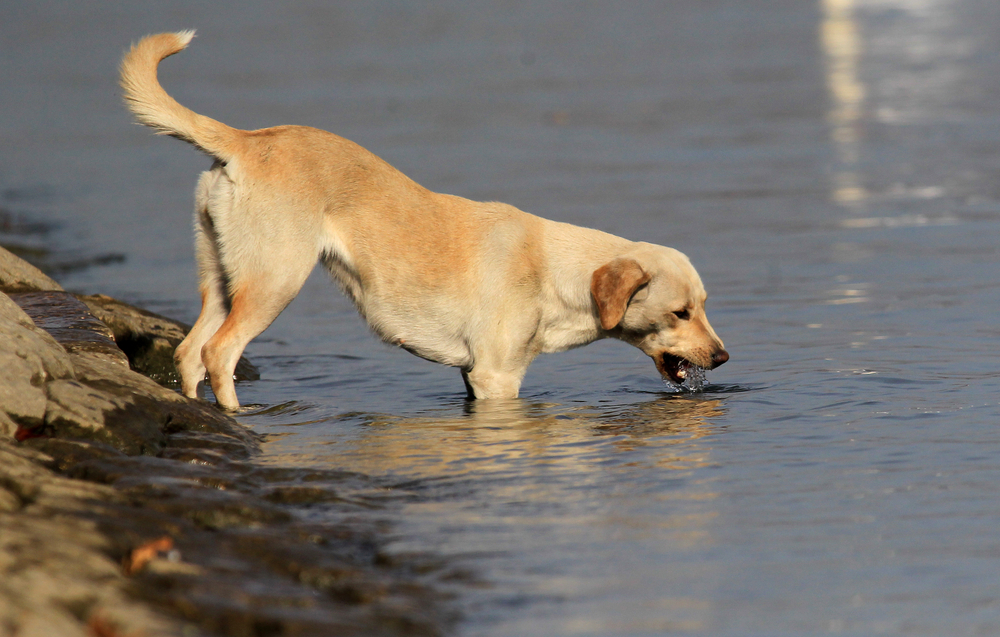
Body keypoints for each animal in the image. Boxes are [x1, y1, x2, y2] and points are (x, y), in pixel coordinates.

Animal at [121, 31, 728, 408]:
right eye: (680, 312)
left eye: (703, 306)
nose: (722, 358)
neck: (560, 273)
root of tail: (245, 140)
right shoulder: (497, 377)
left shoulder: (469, 375)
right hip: (274, 281)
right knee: (218, 353)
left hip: (223, 280)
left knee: (188, 352)